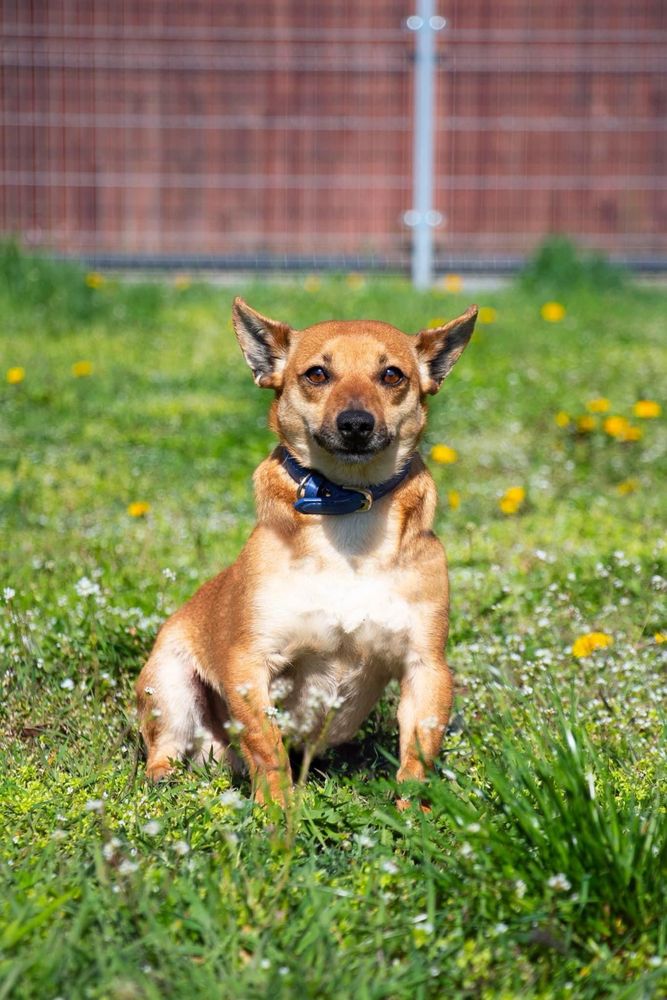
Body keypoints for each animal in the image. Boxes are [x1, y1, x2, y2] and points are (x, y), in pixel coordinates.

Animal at [138, 296, 478, 804]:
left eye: (392, 375)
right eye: (317, 374)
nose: (355, 423)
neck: (348, 506)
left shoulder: (426, 668)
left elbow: (419, 752)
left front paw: (412, 810)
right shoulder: (250, 666)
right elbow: (267, 748)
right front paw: (277, 811)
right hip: (169, 685)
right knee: (166, 747)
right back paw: (164, 779)